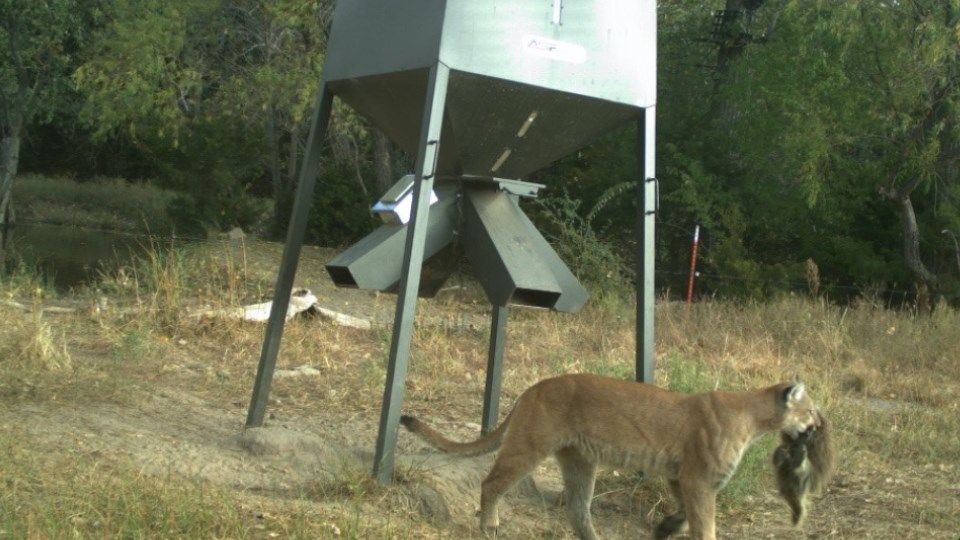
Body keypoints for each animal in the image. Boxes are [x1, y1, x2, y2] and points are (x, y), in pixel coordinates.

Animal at [400, 373, 824, 540]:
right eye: (810, 409)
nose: (819, 423)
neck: (754, 417)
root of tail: (534, 387)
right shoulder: (699, 480)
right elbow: (705, 524)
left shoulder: (682, 477)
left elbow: (685, 512)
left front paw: (666, 527)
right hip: (529, 447)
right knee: (491, 483)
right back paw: (489, 525)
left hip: (580, 462)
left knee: (577, 509)